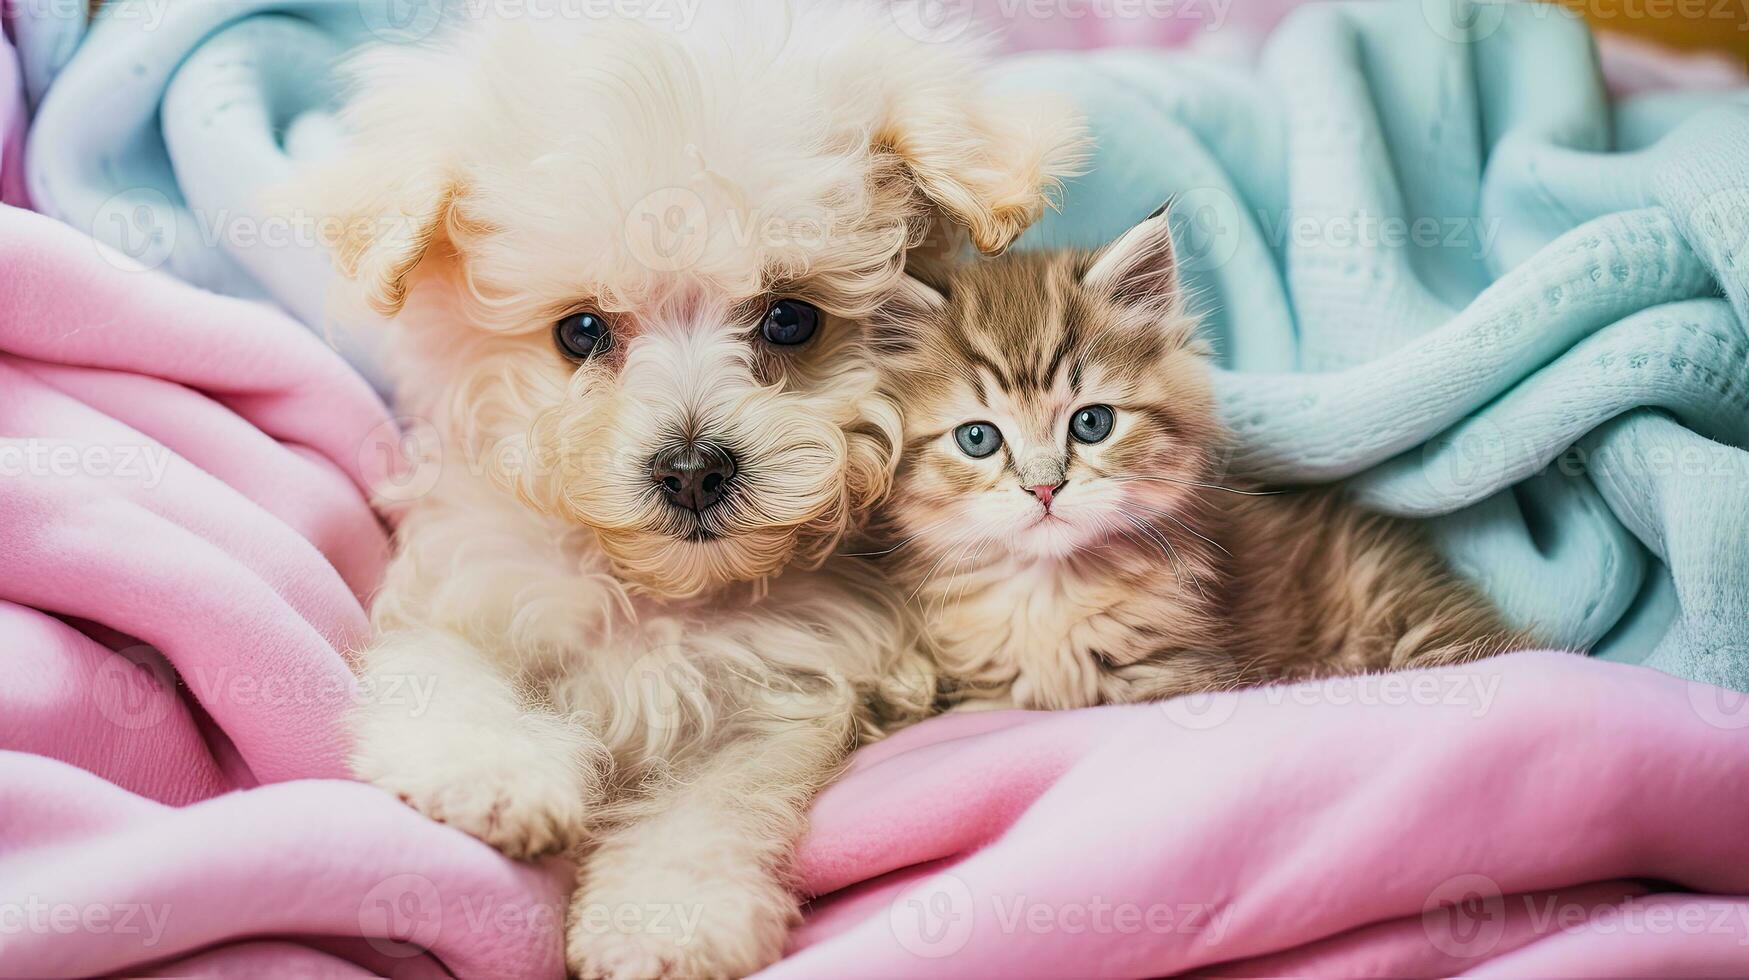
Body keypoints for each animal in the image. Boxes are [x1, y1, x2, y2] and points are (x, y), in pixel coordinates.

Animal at [295, 3, 1084, 973]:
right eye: (580, 331)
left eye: (790, 319)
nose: (692, 469)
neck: (661, 597)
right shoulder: (469, 586)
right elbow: (449, 673)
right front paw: (492, 775)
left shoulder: (782, 691)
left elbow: (709, 805)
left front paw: (662, 920)